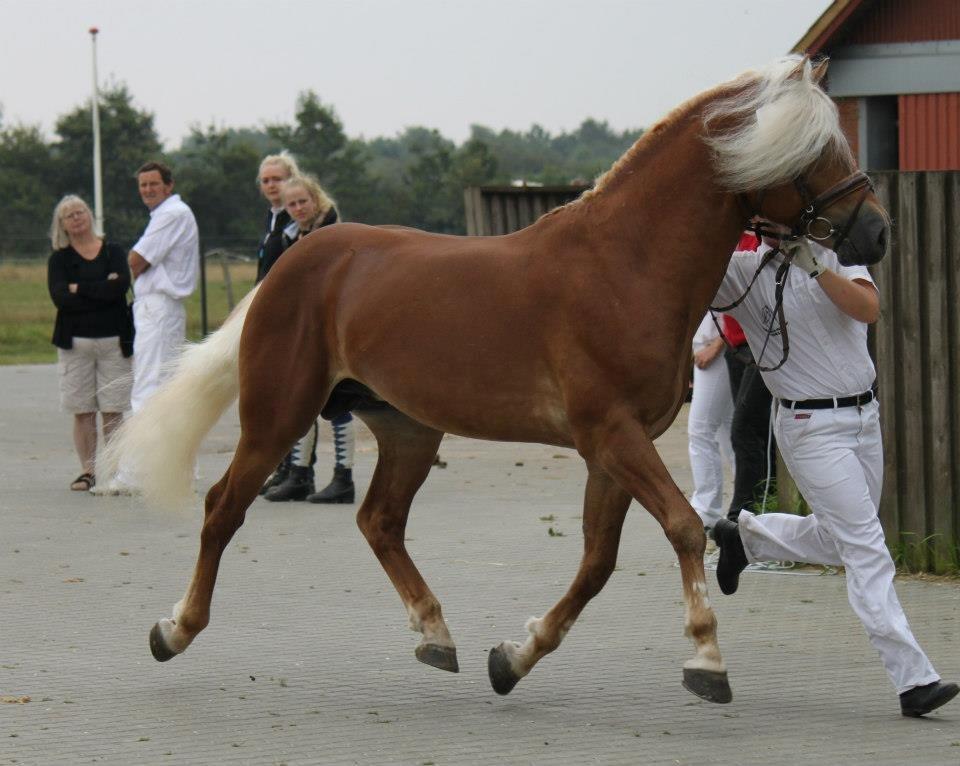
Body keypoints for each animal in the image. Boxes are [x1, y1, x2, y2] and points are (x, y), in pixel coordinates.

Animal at [101, 58, 888, 708]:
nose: (873, 233)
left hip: (409, 430)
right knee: (224, 508)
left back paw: (435, 634)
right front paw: (706, 658)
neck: (624, 264)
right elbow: (683, 526)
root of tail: (290, 266)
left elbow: (597, 562)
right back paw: (174, 630)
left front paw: (513, 657)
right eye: (813, 149)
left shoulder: (611, 448)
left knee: (378, 520)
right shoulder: (613, 433)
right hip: (278, 415)